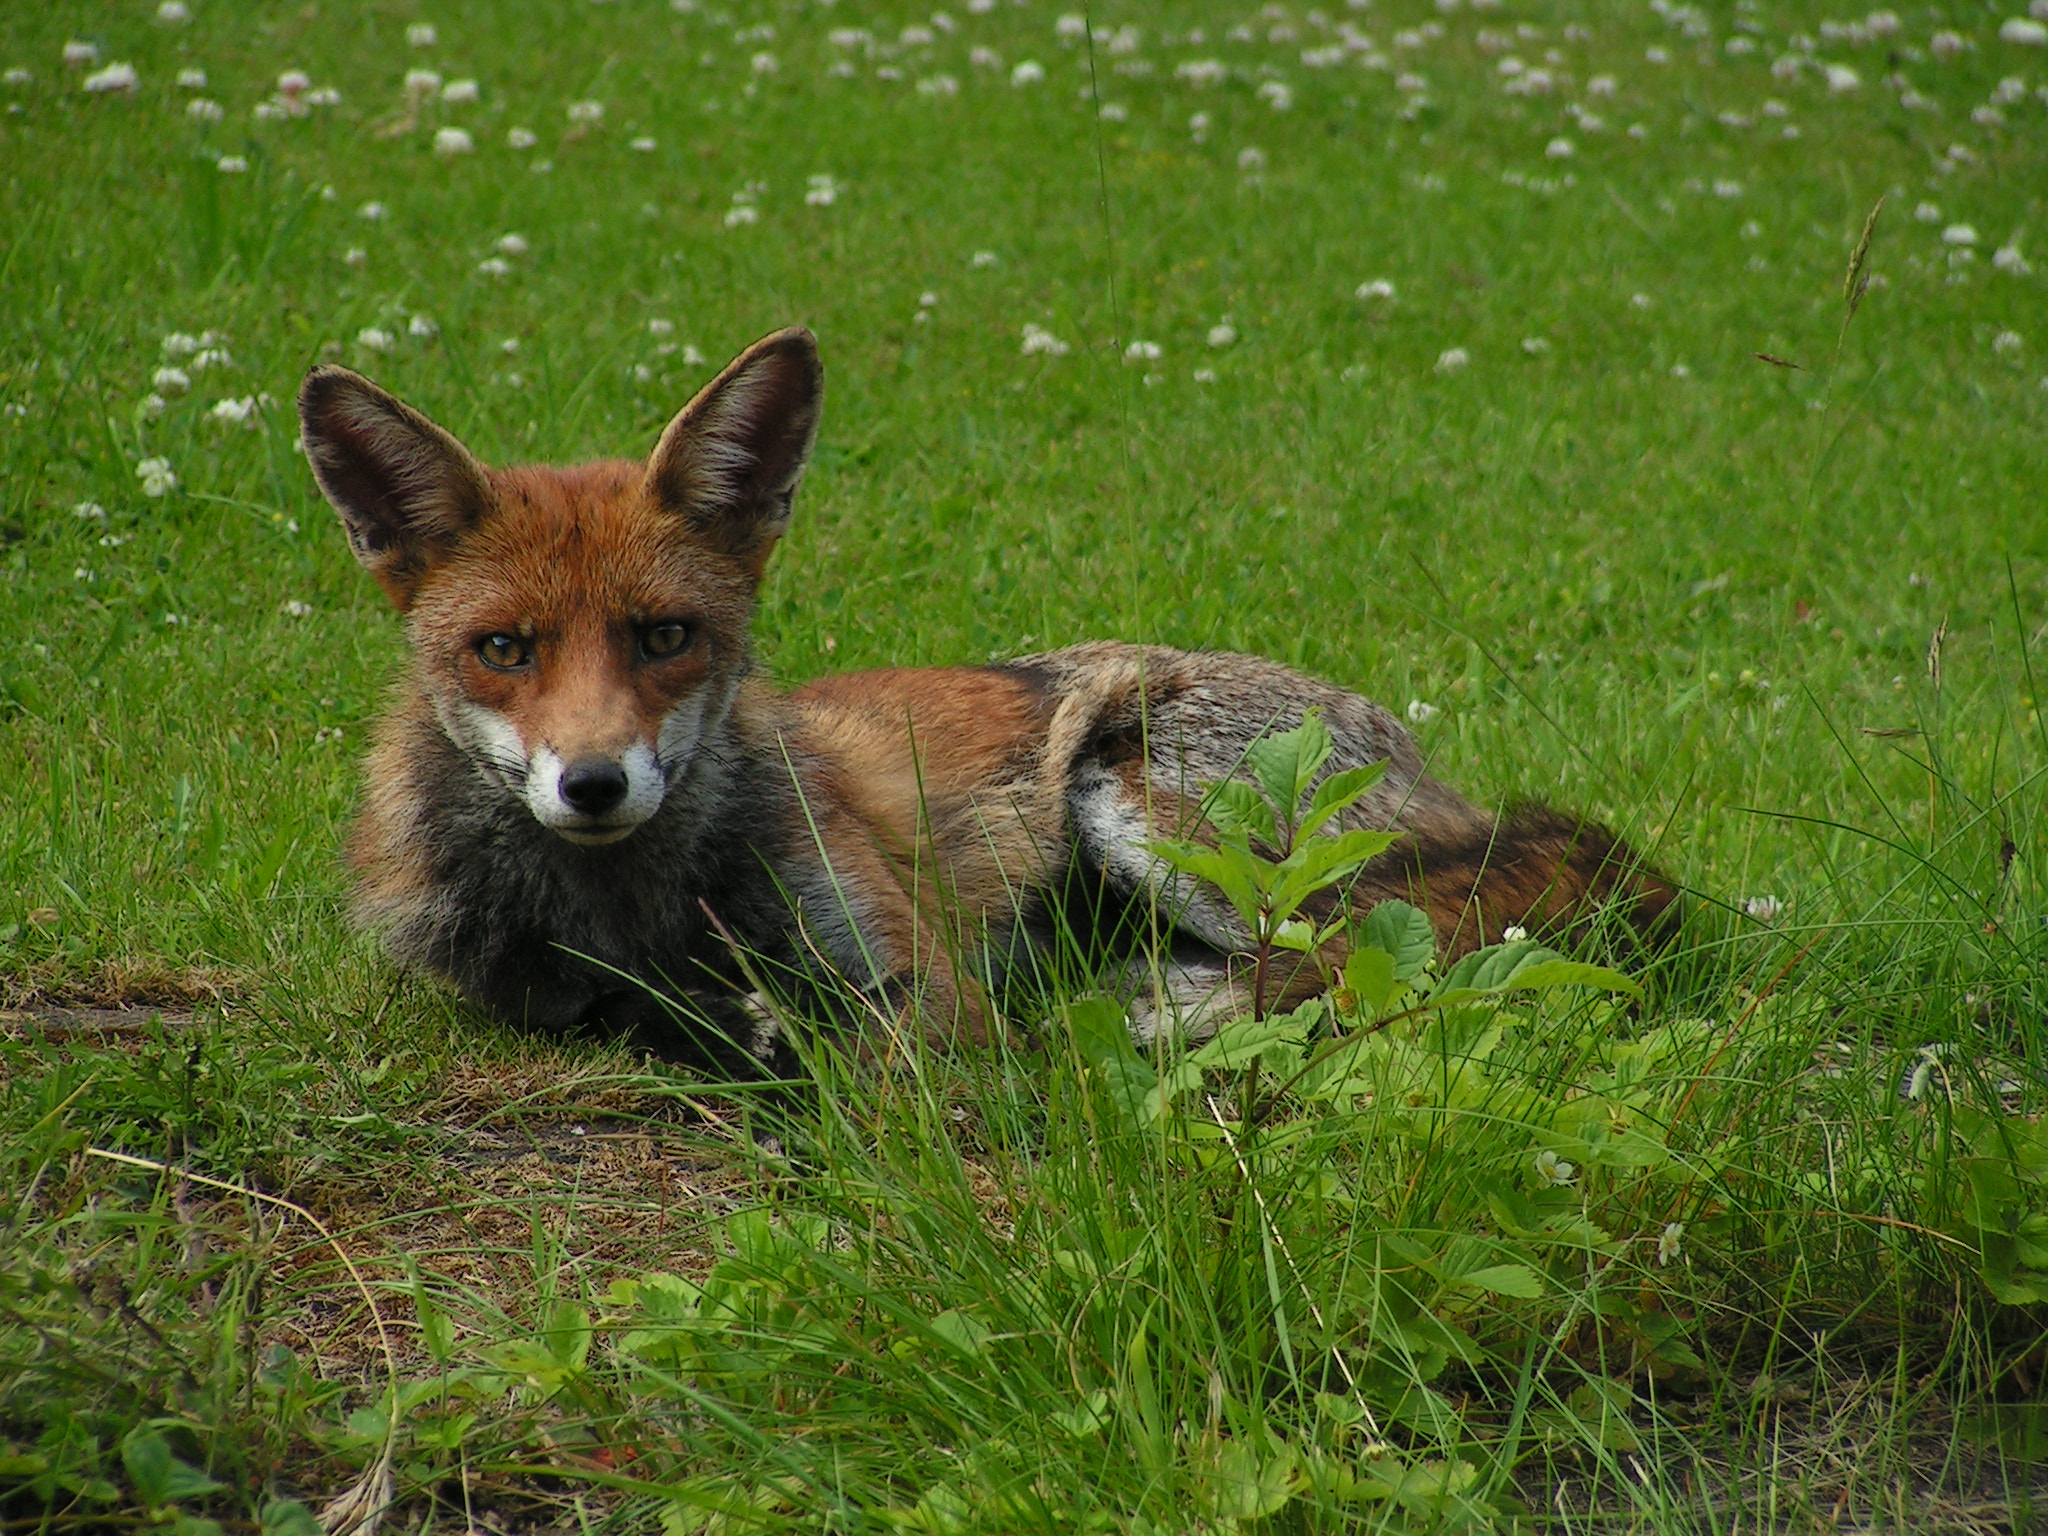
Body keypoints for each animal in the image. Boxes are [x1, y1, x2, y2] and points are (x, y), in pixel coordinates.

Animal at [303, 327, 1679, 1073]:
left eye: (665, 637)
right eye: (502, 649)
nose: (591, 783)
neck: (629, 915)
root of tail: (1403, 740)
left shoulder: (913, 980)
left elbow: (877, 1058)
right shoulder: (524, 998)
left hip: (1141, 797)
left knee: (1370, 963)